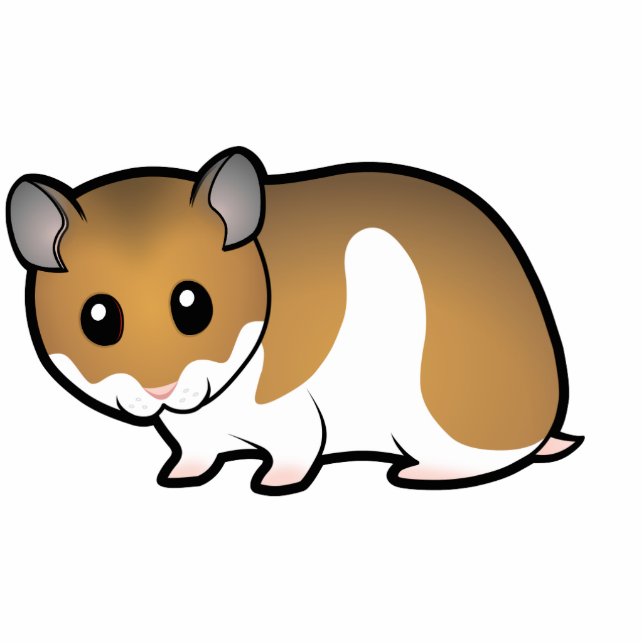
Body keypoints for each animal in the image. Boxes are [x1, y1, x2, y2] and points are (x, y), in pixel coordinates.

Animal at [6, 147, 582, 494]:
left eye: (193, 305)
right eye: (98, 319)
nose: (161, 388)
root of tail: (547, 423)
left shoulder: (290, 409)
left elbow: (295, 449)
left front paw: (271, 485)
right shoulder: (188, 429)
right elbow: (194, 452)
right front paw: (177, 476)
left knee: (482, 461)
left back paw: (412, 473)